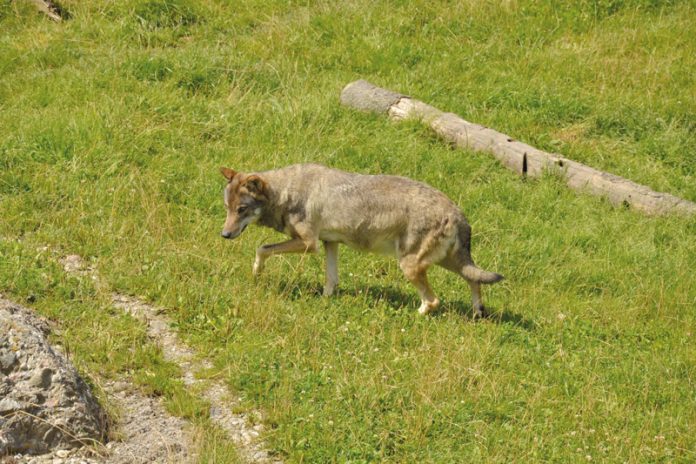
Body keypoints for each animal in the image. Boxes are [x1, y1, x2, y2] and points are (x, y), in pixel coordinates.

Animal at [220, 162, 502, 316]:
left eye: (241, 210)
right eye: (227, 208)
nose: (224, 235)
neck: (286, 192)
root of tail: (457, 212)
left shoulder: (309, 244)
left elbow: (262, 248)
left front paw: (257, 273)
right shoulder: (330, 244)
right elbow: (331, 280)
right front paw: (325, 300)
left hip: (410, 266)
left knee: (433, 301)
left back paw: (415, 314)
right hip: (446, 261)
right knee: (474, 279)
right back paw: (478, 311)